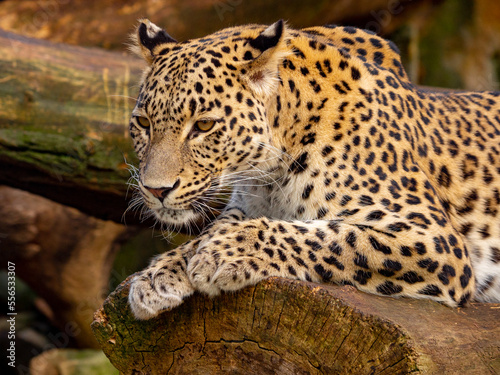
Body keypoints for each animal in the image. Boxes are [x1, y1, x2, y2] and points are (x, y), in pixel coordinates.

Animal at [126, 19, 500, 320]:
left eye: (203, 125)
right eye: (143, 123)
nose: (155, 190)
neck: (270, 174)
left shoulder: (431, 237)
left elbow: (331, 236)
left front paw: (227, 252)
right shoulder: (245, 205)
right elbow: (210, 230)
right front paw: (160, 274)